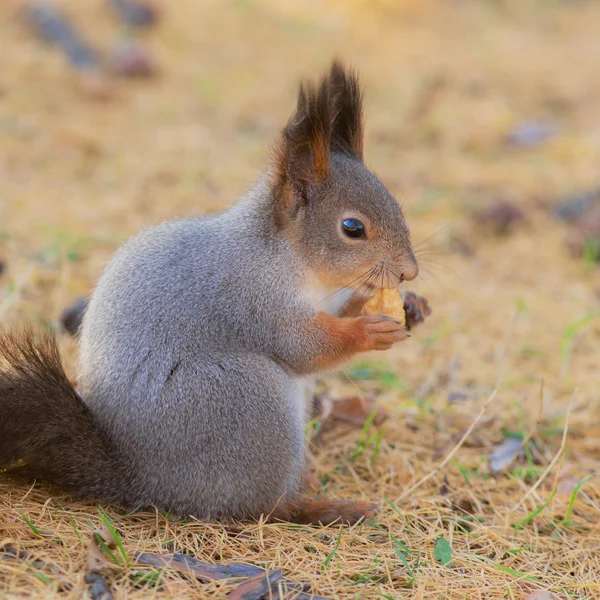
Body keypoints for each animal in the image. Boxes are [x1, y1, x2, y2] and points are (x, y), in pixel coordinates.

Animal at [0, 62, 432, 524]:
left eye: (398, 207)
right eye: (352, 228)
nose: (409, 271)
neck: (298, 265)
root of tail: (139, 481)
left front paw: (411, 307)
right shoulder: (251, 298)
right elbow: (304, 348)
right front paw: (370, 331)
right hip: (245, 399)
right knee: (264, 506)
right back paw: (323, 505)